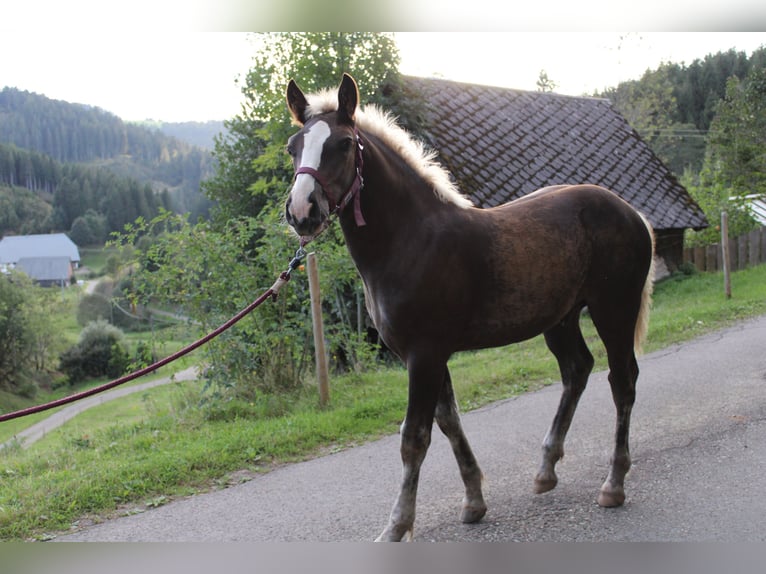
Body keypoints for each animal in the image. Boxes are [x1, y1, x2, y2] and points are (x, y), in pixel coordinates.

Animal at [284, 74, 656, 544]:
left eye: (345, 144)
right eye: (293, 146)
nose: (302, 211)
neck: (411, 240)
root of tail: (632, 213)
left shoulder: (424, 354)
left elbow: (415, 437)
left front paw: (397, 526)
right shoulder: (427, 354)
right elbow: (449, 422)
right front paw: (474, 502)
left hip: (614, 309)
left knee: (622, 381)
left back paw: (613, 484)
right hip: (561, 318)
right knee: (577, 370)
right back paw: (545, 470)